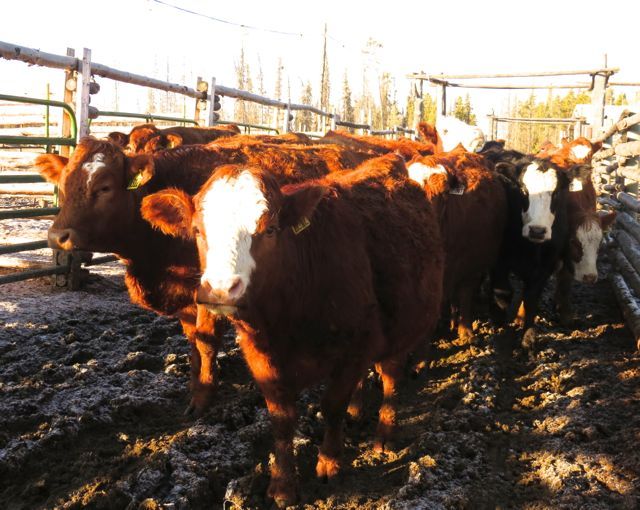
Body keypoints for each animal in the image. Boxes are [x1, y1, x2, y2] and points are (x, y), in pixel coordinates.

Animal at [35, 136, 376, 414]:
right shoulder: (187, 297)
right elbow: (193, 342)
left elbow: (207, 341)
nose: (57, 236)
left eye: (104, 188)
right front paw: (193, 384)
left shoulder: (210, 294)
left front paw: (203, 397)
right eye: (62, 185)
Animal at [144, 153, 444, 508]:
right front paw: (282, 485)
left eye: (271, 229)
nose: (220, 289)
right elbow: (282, 419)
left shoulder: (355, 348)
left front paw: (329, 462)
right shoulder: (262, 358)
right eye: (197, 230)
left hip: (401, 329)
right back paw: (358, 412)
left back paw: (383, 436)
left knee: (391, 378)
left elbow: (332, 406)